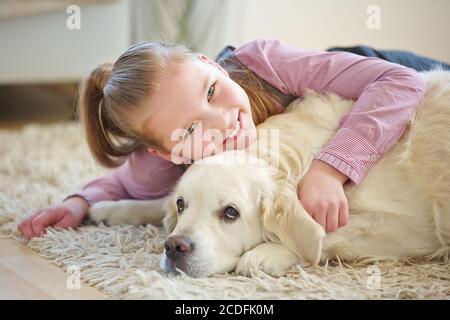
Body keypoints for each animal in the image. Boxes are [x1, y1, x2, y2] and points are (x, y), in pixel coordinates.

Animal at [89, 70, 450, 278]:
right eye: (182, 205)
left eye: (230, 213)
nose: (174, 247)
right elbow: (155, 203)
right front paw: (109, 208)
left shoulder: (406, 225)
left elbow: (323, 234)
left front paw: (265, 255)